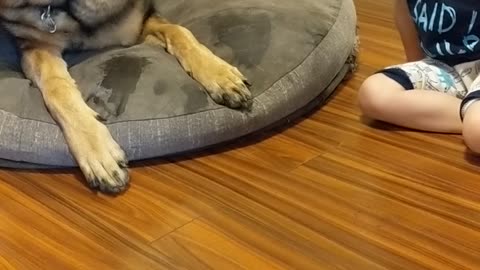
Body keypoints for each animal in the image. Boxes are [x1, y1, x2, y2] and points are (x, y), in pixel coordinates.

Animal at [0, 0, 253, 194]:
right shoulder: (37, 46)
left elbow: (180, 31)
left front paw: (219, 74)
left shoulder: (140, 25)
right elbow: (57, 88)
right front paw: (97, 151)